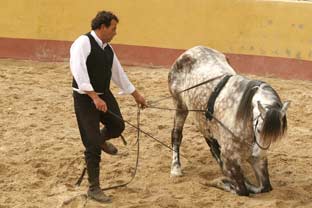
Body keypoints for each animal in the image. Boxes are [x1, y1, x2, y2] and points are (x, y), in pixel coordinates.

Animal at [168, 45, 290, 195]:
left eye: (274, 136)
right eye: (259, 129)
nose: (256, 154)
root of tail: (189, 52)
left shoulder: (259, 160)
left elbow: (265, 187)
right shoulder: (230, 158)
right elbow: (242, 189)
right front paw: (221, 182)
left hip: (204, 121)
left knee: (211, 142)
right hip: (180, 106)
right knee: (177, 135)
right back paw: (176, 168)